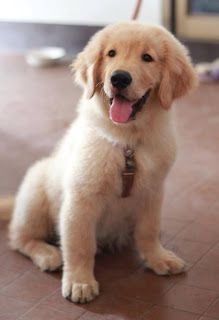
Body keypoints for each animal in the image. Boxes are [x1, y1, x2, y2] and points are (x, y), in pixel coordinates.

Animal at [8, 21, 197, 302]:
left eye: (147, 57)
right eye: (111, 54)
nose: (119, 78)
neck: (127, 143)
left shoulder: (152, 192)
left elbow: (149, 230)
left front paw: (158, 257)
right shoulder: (80, 200)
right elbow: (80, 245)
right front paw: (80, 281)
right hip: (35, 191)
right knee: (18, 238)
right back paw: (47, 254)